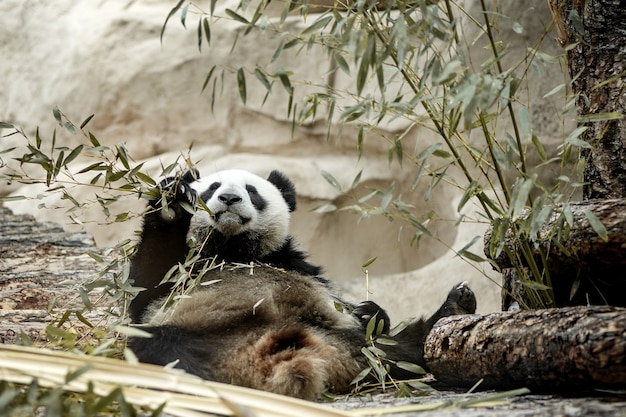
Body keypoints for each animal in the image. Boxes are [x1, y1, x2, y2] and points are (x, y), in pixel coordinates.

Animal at [128, 167, 478, 398]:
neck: (233, 249)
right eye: (211, 188)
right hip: (194, 336)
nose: (228, 197)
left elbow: (353, 308)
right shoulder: (182, 271)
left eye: (251, 191)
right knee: (156, 345)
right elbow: (144, 291)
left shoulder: (289, 262)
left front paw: (369, 310)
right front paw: (173, 201)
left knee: (392, 349)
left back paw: (451, 311)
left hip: (342, 342)